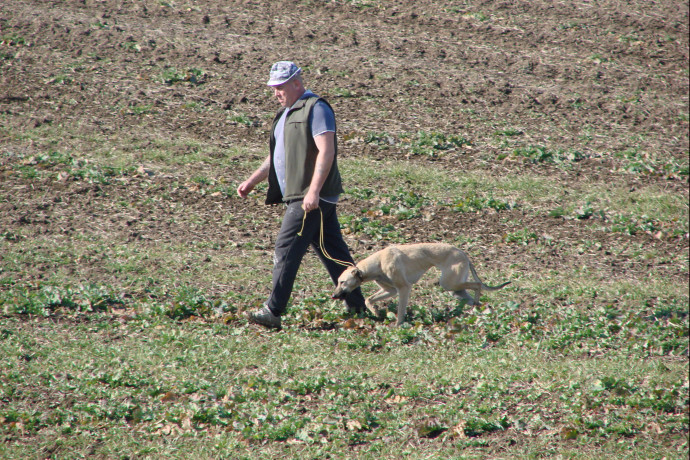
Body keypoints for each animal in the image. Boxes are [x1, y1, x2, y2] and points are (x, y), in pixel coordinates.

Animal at [330, 243, 508, 326]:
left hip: (449, 283)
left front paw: (398, 325)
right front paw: (375, 311)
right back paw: (477, 310)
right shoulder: (391, 290)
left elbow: (401, 310)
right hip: (455, 288)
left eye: (342, 282)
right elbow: (369, 299)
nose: (334, 295)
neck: (378, 261)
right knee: (474, 295)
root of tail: (464, 254)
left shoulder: (403, 288)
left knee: (477, 284)